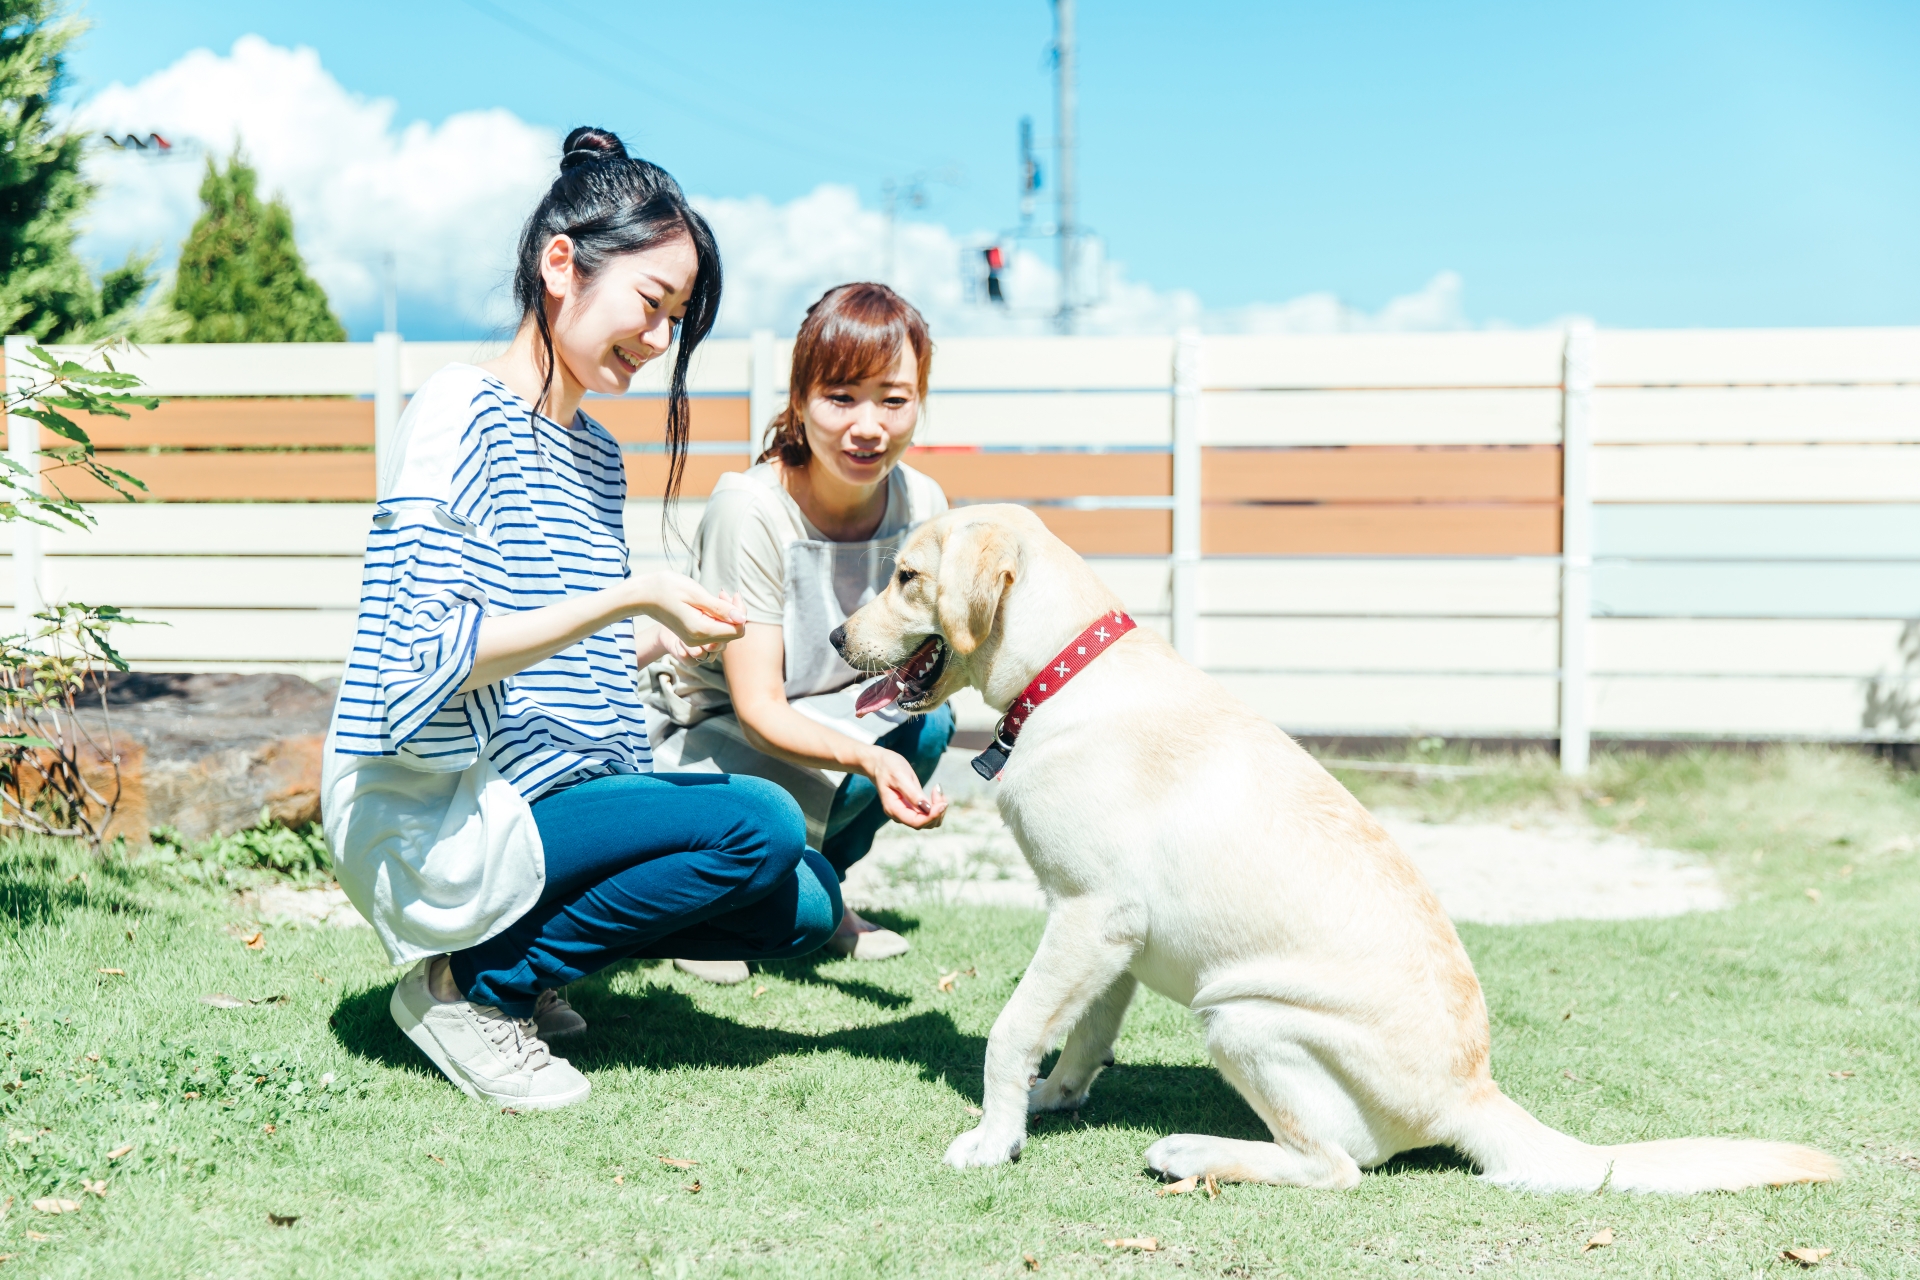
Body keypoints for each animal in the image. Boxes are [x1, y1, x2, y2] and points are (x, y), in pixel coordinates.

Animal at [833, 506, 1835, 1189]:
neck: (1064, 674)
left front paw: (992, 1137)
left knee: (1337, 1167)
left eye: (906, 576)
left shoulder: (1085, 916)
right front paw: (1054, 1099)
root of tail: (1474, 1093)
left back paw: (1194, 1151)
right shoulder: (1107, 937)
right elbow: (1080, 1032)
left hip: (1241, 1015)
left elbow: (1011, 1030)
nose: (839, 636)